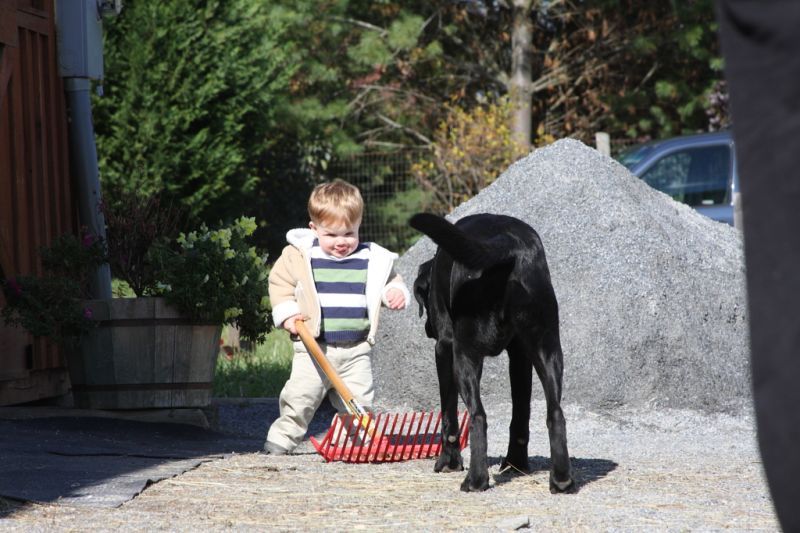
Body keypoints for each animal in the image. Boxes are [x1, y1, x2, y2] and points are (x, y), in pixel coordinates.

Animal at [409, 212, 574, 493]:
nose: (427, 328)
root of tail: (505, 243)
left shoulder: (444, 348)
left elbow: (449, 415)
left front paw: (449, 461)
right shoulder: (520, 357)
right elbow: (520, 414)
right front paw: (515, 464)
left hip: (464, 356)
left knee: (478, 415)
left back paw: (476, 480)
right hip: (548, 349)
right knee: (555, 413)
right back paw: (559, 478)